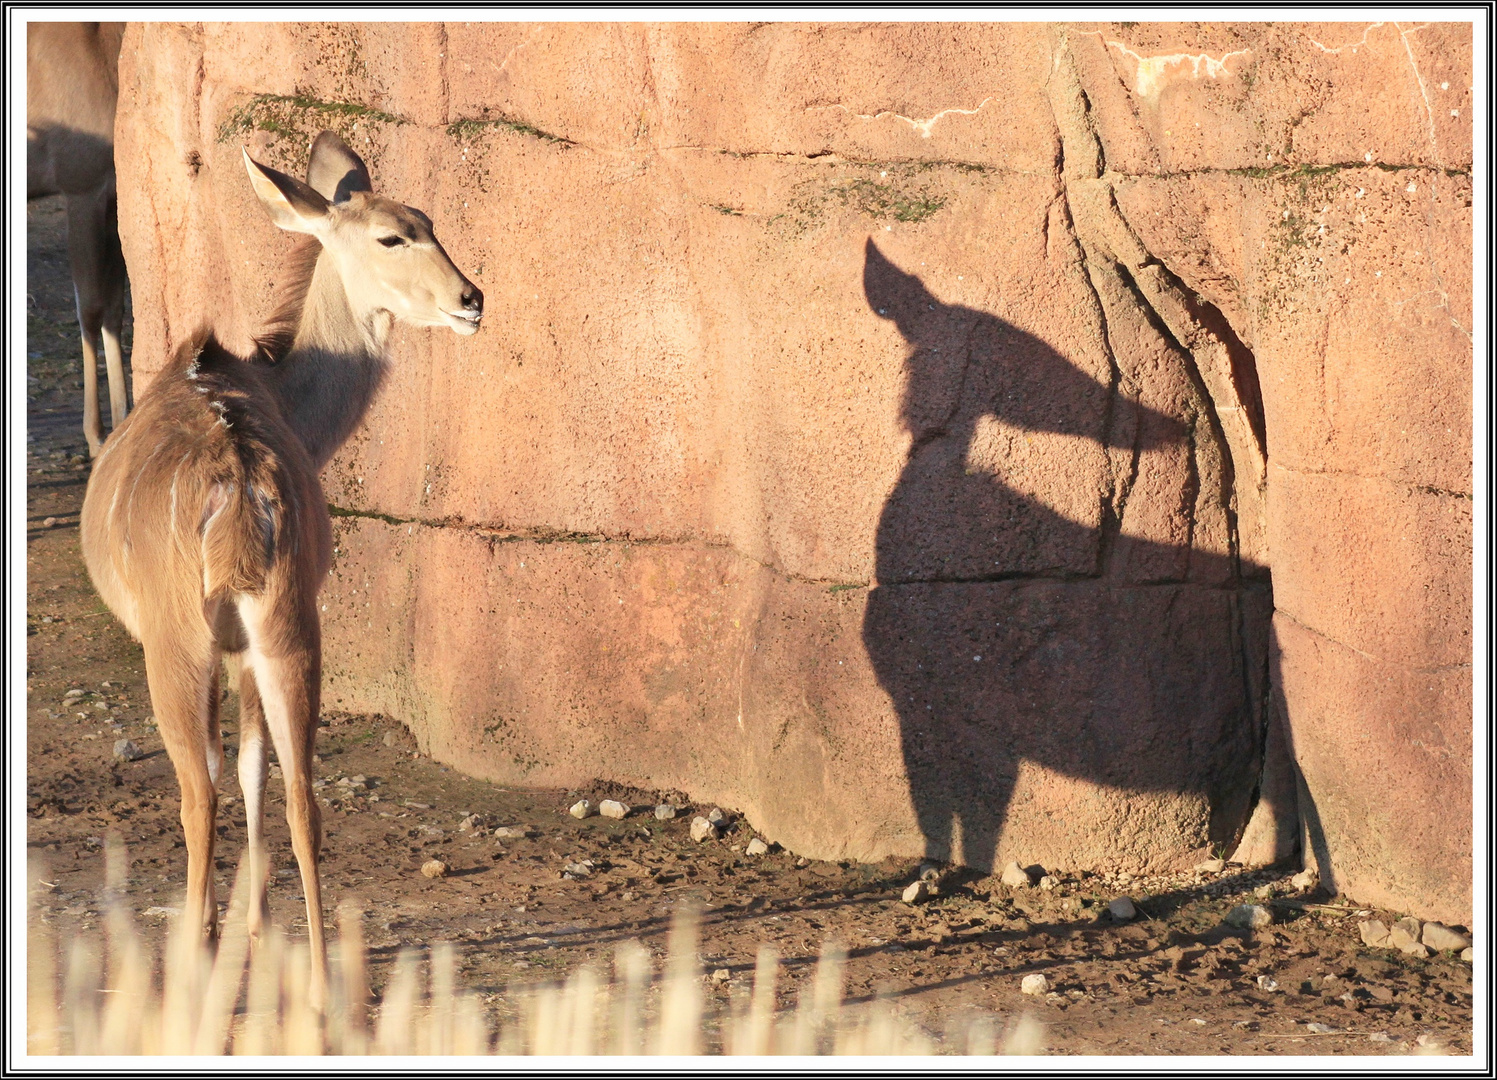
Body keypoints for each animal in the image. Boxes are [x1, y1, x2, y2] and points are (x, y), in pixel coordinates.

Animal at [80, 130, 485, 1006]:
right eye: (393, 235)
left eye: (429, 224)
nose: (473, 299)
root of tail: (237, 492)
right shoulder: (249, 642)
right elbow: (257, 768)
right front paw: (259, 933)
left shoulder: (217, 647)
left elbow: (231, 770)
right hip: (288, 627)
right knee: (302, 794)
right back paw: (322, 985)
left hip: (181, 644)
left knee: (198, 792)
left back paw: (199, 967)